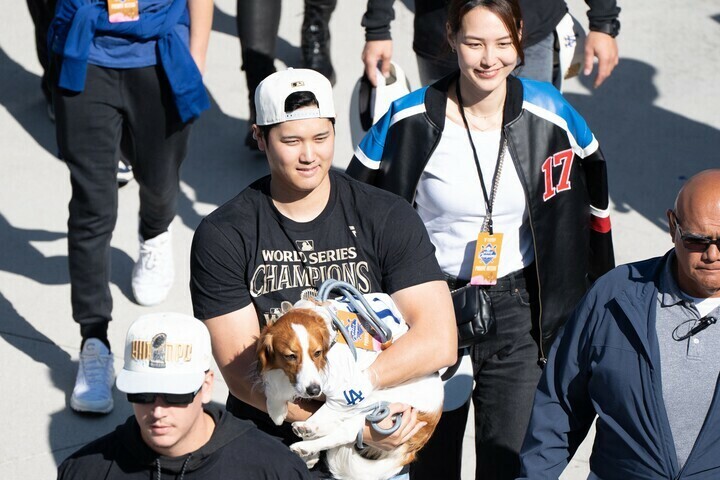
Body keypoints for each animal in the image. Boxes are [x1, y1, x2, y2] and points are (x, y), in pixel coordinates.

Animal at [256, 304, 442, 480]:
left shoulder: (348, 389)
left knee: (345, 432)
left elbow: (327, 411)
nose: (314, 390)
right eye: (290, 356)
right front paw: (277, 411)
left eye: (317, 353)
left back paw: (306, 441)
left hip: (378, 401)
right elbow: (276, 388)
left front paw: (308, 425)